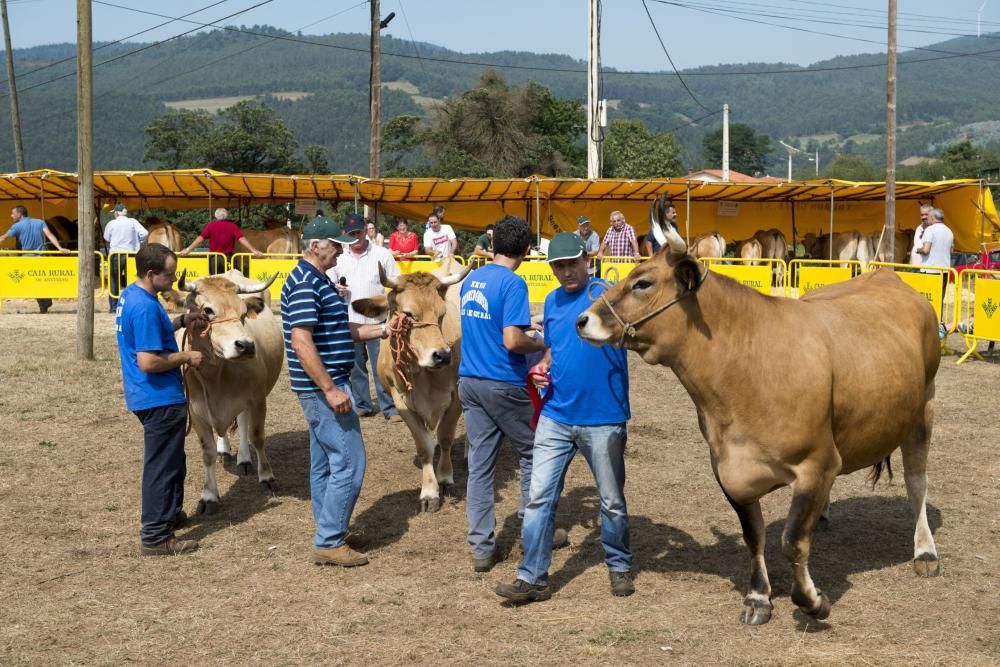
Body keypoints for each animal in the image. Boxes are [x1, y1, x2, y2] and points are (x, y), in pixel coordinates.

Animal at [174, 268, 284, 516]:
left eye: (243, 313)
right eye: (207, 310)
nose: (246, 345)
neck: (215, 376)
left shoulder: (257, 400)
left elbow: (257, 436)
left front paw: (267, 476)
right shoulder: (195, 412)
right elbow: (207, 452)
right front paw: (208, 496)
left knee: (242, 424)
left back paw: (244, 459)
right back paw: (224, 449)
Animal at [356, 260, 472, 512]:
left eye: (442, 313)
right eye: (408, 314)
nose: (442, 355)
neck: (423, 374)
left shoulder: (456, 396)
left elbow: (445, 437)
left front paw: (445, 477)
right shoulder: (401, 401)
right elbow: (425, 446)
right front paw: (429, 492)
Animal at [576, 198, 940, 628]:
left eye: (642, 283)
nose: (582, 320)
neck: (745, 365)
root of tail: (888, 276)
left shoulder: (816, 462)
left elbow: (792, 541)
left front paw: (813, 601)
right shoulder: (730, 469)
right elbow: (755, 535)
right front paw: (758, 597)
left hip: (924, 408)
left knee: (917, 482)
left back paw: (925, 552)